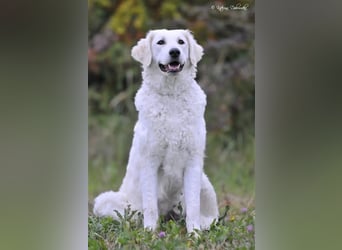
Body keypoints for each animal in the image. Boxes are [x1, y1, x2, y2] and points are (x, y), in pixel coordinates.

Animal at [93, 29, 218, 234]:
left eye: (181, 42)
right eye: (160, 42)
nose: (175, 52)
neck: (171, 94)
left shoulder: (193, 162)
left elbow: (193, 205)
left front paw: (194, 234)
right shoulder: (150, 162)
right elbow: (151, 205)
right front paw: (150, 233)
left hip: (204, 182)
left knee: (210, 214)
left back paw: (204, 225)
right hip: (105, 200)